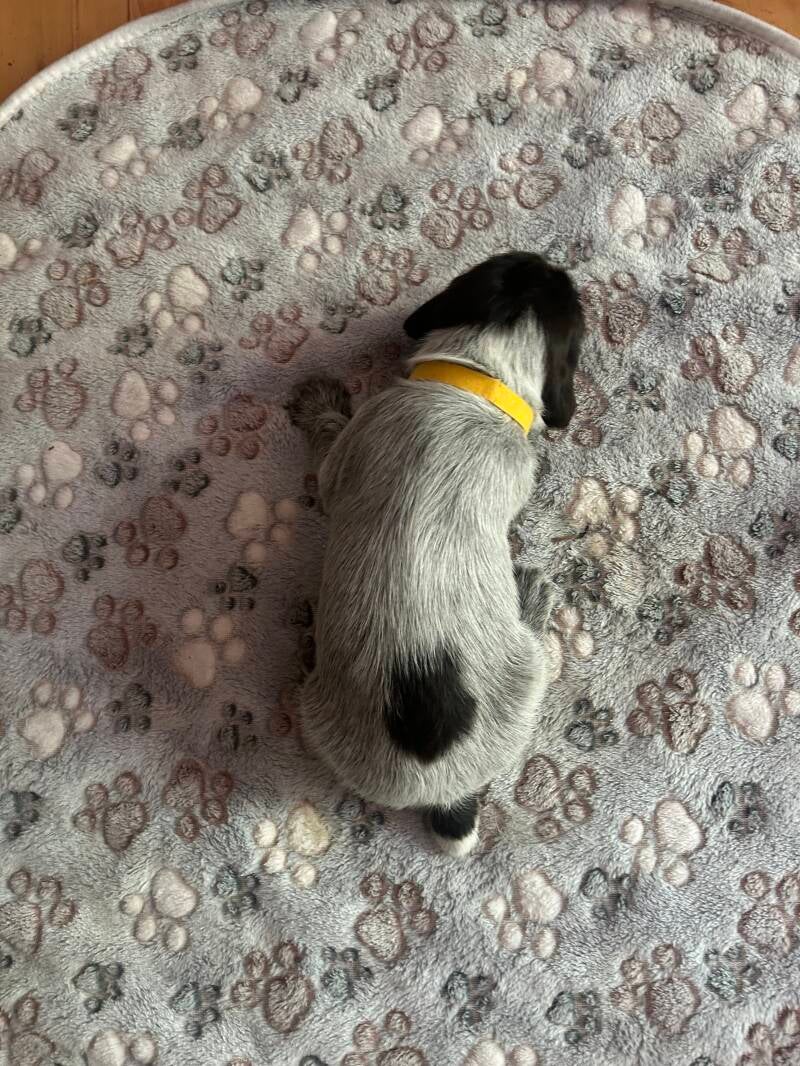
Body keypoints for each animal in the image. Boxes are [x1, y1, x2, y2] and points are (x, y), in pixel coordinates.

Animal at [288, 251, 584, 855]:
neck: (477, 380)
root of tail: (445, 795)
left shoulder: (345, 453)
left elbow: (329, 444)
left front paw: (319, 405)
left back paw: (530, 595)